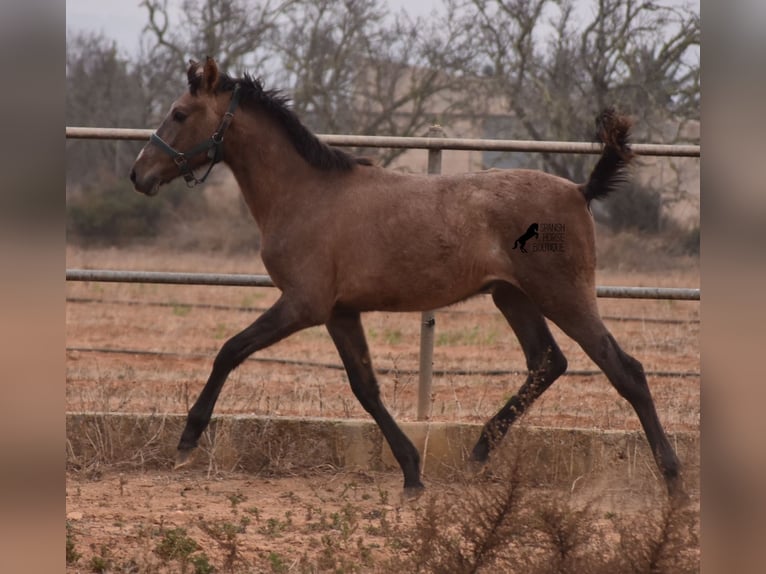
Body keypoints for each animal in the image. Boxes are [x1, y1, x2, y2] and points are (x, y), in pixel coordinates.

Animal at [130, 58, 684, 500]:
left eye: (179, 114)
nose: (139, 175)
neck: (306, 194)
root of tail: (579, 190)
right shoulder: (339, 311)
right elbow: (365, 386)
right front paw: (413, 473)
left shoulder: (303, 304)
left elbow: (230, 350)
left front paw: (186, 440)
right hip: (513, 297)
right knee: (548, 362)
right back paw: (478, 452)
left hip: (563, 294)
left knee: (626, 371)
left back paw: (674, 481)